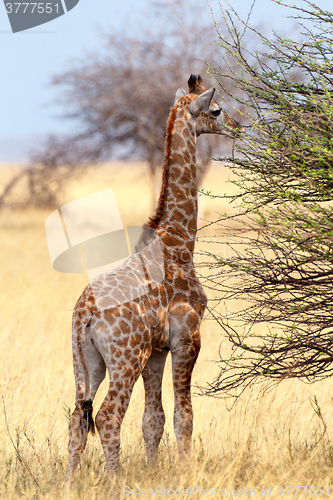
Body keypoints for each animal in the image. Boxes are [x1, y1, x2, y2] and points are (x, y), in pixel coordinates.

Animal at [65, 73, 241, 476]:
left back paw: (68, 481)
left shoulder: (157, 349)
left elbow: (153, 419)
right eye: (216, 109)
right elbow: (183, 415)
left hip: (86, 361)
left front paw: (152, 469)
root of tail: (85, 316)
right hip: (125, 357)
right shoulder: (187, 338)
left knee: (77, 418)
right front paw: (184, 470)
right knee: (108, 416)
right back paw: (115, 480)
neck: (177, 241)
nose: (239, 127)